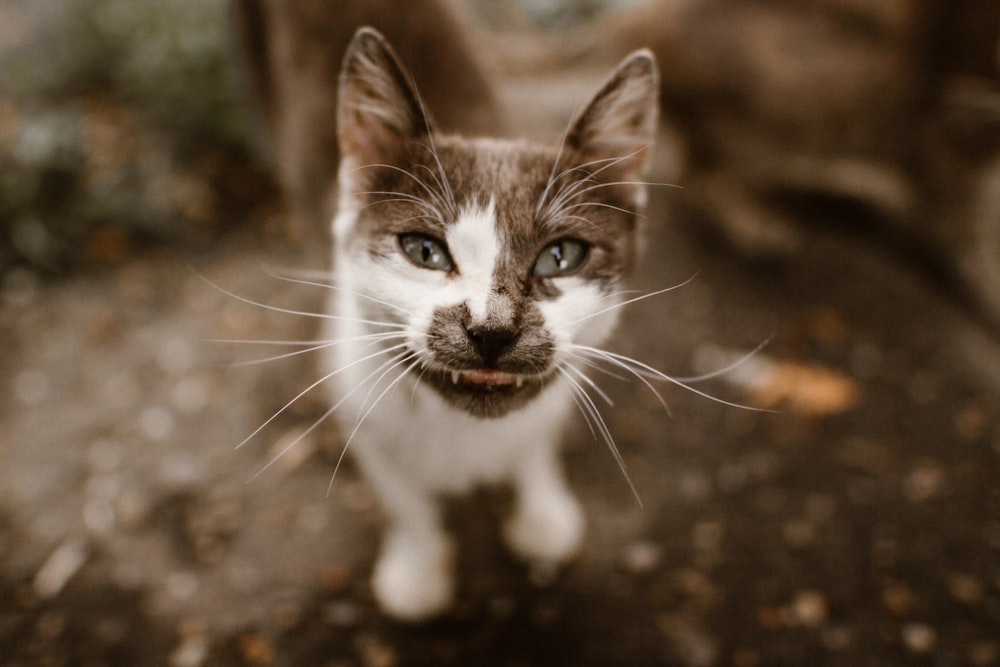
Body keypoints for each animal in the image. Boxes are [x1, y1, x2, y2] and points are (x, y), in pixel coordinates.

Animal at [320, 26, 660, 620]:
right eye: (425, 250)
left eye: (560, 257)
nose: (493, 329)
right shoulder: (359, 406)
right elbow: (404, 498)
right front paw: (418, 569)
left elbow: (534, 444)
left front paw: (542, 519)